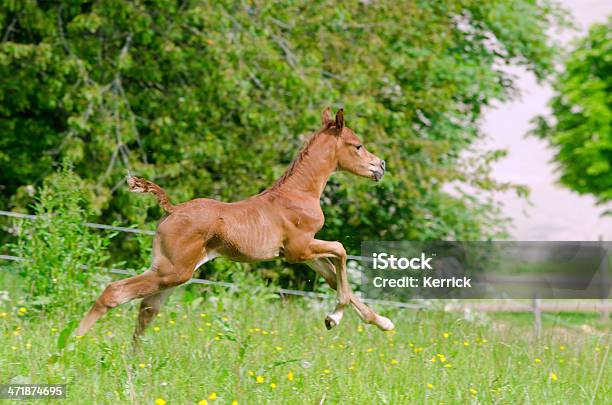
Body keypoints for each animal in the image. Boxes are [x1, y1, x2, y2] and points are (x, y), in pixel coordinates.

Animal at [76, 107, 394, 338]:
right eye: (358, 146)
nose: (380, 165)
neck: (299, 193)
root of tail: (173, 209)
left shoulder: (302, 254)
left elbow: (333, 277)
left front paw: (381, 322)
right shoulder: (299, 249)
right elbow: (341, 251)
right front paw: (333, 317)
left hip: (168, 271)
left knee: (146, 310)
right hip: (173, 272)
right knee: (115, 292)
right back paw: (72, 344)